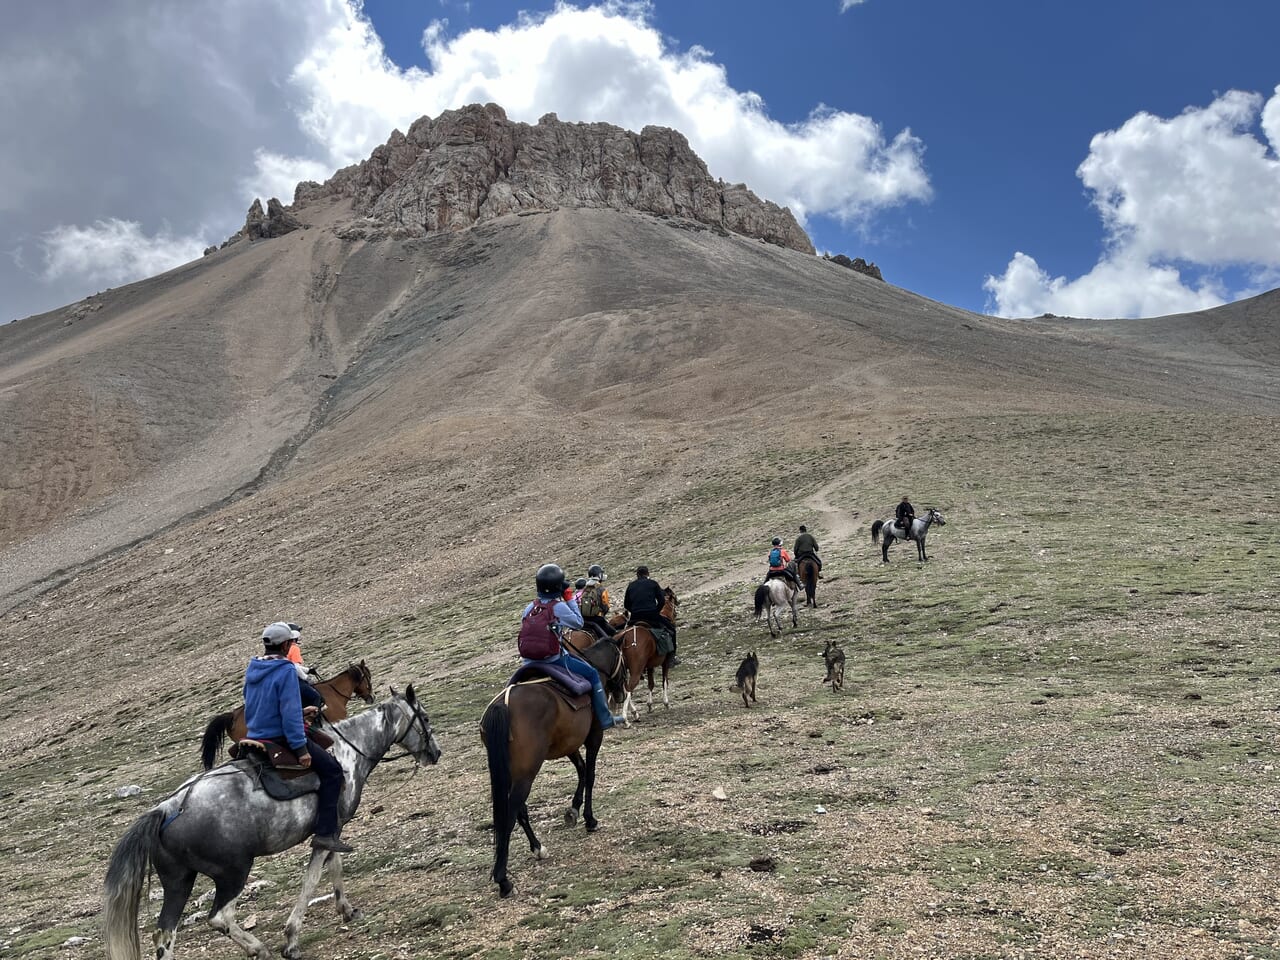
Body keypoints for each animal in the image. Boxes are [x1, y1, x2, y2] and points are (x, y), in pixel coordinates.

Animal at [102, 686, 440, 960]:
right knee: (220, 917)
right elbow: (314, 878)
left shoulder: (333, 831)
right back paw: (258, 948)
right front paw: (291, 940)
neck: (348, 750)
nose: (435, 753)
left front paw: (346, 909)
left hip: (178, 882)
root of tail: (168, 808)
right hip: (233, 873)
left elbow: (335, 866)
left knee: (164, 934)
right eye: (424, 716)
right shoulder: (328, 831)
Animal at [483, 670, 604, 901]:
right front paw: (589, 819)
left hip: (515, 773)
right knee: (511, 814)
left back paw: (537, 848)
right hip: (526, 773)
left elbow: (582, 769)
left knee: (519, 810)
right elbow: (590, 774)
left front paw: (573, 810)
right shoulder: (594, 733)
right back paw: (503, 880)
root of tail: (503, 705)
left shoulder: (569, 742)